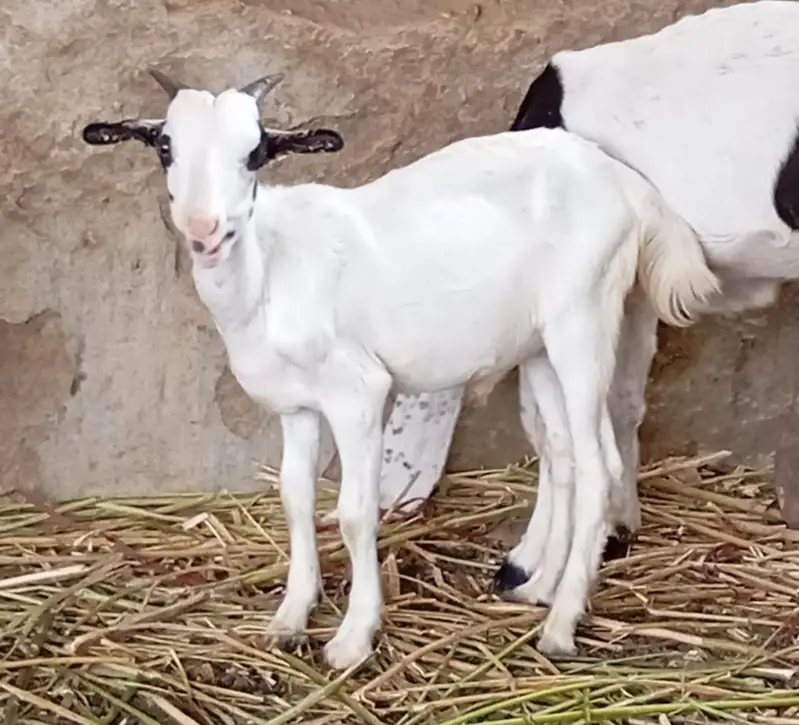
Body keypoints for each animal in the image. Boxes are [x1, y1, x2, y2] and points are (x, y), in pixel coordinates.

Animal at [81, 70, 718, 664]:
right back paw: (538, 588)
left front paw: (353, 637)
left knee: (600, 465)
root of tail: (627, 183)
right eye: (165, 147)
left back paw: (561, 625)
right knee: (562, 455)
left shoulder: (359, 393)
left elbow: (354, 512)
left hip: (583, 322)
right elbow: (294, 498)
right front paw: (291, 615)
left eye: (256, 152)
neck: (271, 272)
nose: (204, 230)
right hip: (538, 346)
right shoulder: (297, 406)